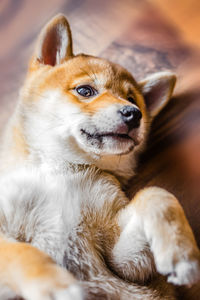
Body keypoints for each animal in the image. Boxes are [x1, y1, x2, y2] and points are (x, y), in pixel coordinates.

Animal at [0, 14, 200, 300]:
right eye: (85, 91)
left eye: (133, 99)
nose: (135, 114)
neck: (58, 171)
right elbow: (19, 251)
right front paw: (53, 283)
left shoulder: (124, 261)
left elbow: (156, 194)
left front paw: (180, 251)